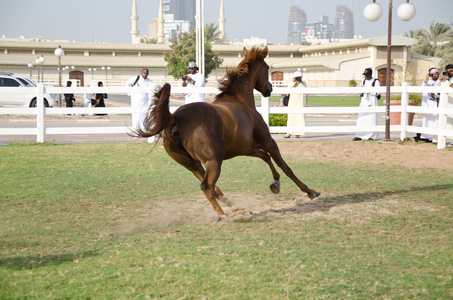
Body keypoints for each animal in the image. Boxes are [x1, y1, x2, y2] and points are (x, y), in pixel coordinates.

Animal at [133, 47, 318, 220]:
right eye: (266, 68)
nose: (270, 89)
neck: (240, 100)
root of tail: (175, 118)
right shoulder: (268, 141)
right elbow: (285, 166)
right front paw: (310, 191)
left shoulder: (247, 148)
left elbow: (265, 157)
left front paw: (275, 184)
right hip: (214, 161)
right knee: (207, 187)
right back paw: (223, 215)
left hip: (192, 164)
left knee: (213, 187)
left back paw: (233, 207)